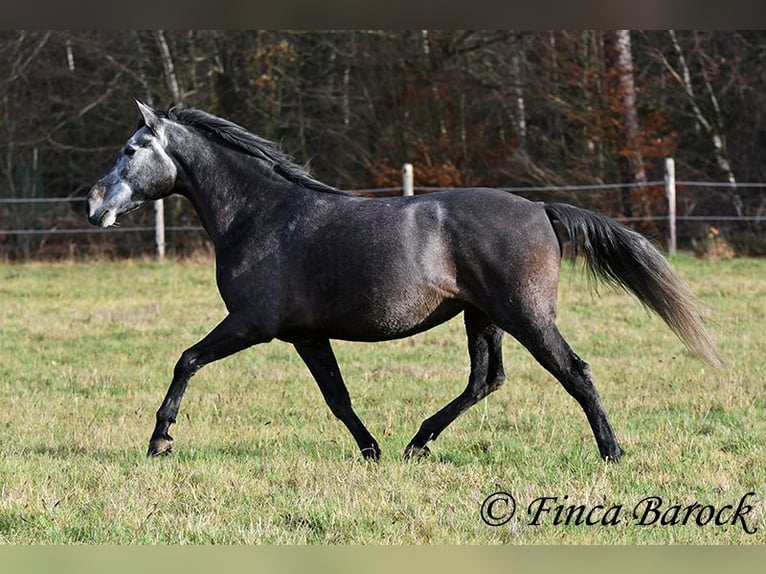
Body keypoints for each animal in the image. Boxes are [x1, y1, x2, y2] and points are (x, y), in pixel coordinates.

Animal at [87, 101, 724, 466]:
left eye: (132, 149)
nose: (93, 206)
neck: (260, 214)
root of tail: (541, 209)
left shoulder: (252, 324)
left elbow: (187, 360)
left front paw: (159, 441)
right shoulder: (306, 335)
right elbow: (338, 398)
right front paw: (371, 451)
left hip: (525, 316)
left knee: (575, 373)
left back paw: (612, 454)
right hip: (483, 317)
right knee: (485, 380)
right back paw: (417, 445)